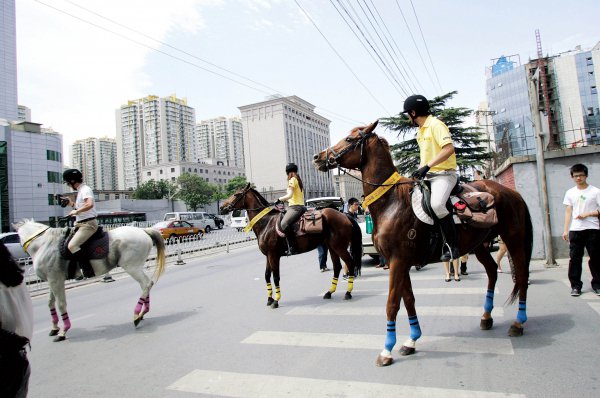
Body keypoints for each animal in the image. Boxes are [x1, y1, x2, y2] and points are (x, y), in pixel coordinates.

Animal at [15, 219, 165, 340]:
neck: (44, 244)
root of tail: (143, 231)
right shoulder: (51, 280)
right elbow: (50, 302)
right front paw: (54, 328)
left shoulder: (56, 279)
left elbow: (61, 304)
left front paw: (63, 331)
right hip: (136, 266)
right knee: (147, 284)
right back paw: (143, 312)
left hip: (131, 266)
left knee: (145, 284)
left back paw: (136, 315)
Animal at [220, 183, 360, 308]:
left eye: (236, 194)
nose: (222, 207)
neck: (266, 222)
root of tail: (344, 215)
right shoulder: (268, 256)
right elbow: (267, 276)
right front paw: (269, 299)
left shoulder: (274, 255)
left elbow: (276, 277)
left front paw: (276, 300)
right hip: (332, 247)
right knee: (337, 267)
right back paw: (329, 292)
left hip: (339, 247)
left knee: (350, 263)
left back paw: (348, 293)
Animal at [312, 120, 532, 366]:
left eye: (350, 140)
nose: (317, 157)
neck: (391, 202)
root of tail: (510, 192)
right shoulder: (400, 262)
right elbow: (408, 299)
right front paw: (411, 340)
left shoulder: (398, 262)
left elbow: (392, 304)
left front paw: (387, 350)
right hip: (479, 245)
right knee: (492, 271)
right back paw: (486, 317)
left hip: (513, 238)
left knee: (521, 276)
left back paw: (518, 322)